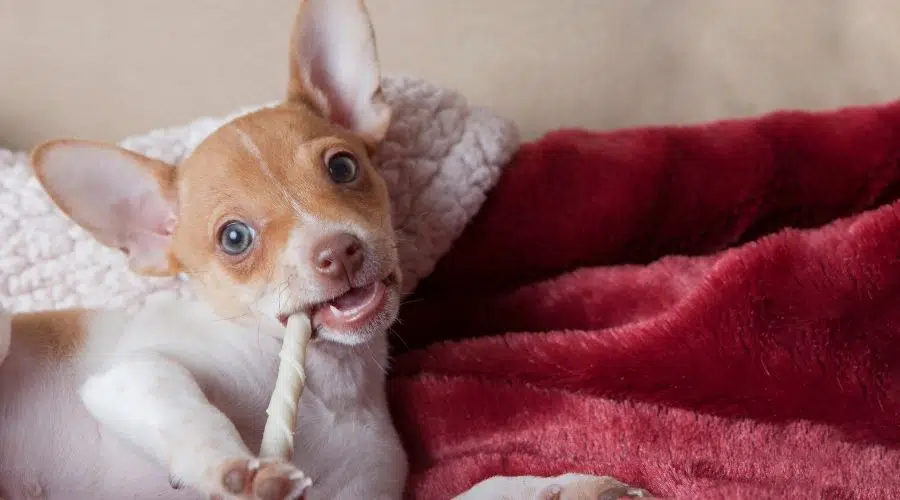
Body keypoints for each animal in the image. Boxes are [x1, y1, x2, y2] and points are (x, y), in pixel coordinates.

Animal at [0, 0, 648, 500]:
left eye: (342, 167)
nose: (338, 251)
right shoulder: (130, 376)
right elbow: (191, 411)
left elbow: (479, 490)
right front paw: (238, 467)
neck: (329, 387)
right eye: (233, 238)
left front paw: (555, 487)